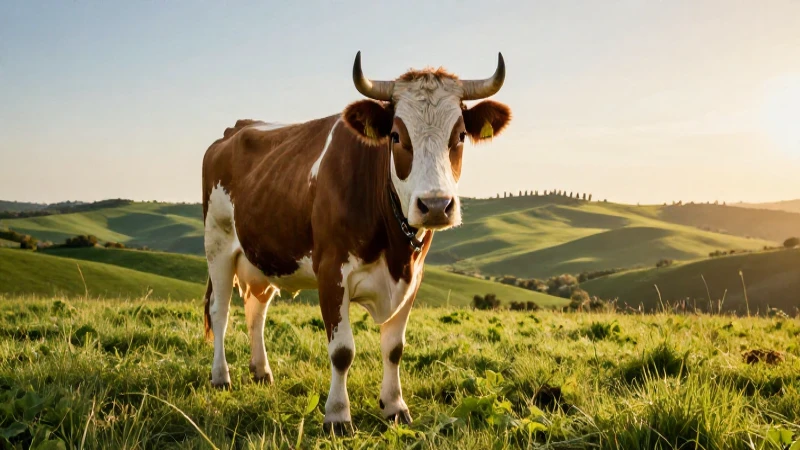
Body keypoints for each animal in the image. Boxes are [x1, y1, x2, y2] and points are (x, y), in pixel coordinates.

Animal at [201, 51, 511, 434]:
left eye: (461, 135)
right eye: (396, 135)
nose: (437, 205)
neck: (394, 247)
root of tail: (236, 129)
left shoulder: (413, 277)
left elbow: (394, 347)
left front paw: (395, 407)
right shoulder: (331, 272)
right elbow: (342, 351)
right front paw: (337, 416)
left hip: (263, 255)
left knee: (256, 310)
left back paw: (261, 372)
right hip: (217, 244)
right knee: (220, 311)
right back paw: (221, 377)